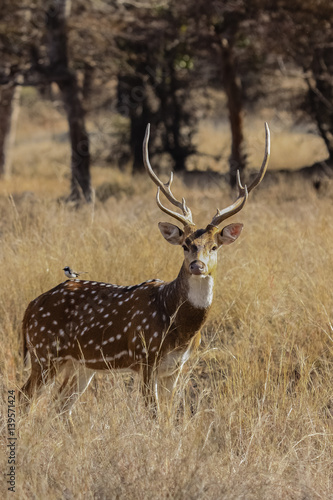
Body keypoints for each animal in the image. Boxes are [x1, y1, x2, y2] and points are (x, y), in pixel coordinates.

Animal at [20, 123, 268, 412]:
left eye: (215, 246)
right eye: (185, 244)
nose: (197, 265)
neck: (180, 327)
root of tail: (30, 308)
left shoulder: (177, 367)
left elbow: (169, 414)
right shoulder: (146, 356)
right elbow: (154, 412)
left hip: (80, 364)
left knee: (60, 406)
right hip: (45, 352)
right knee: (24, 396)